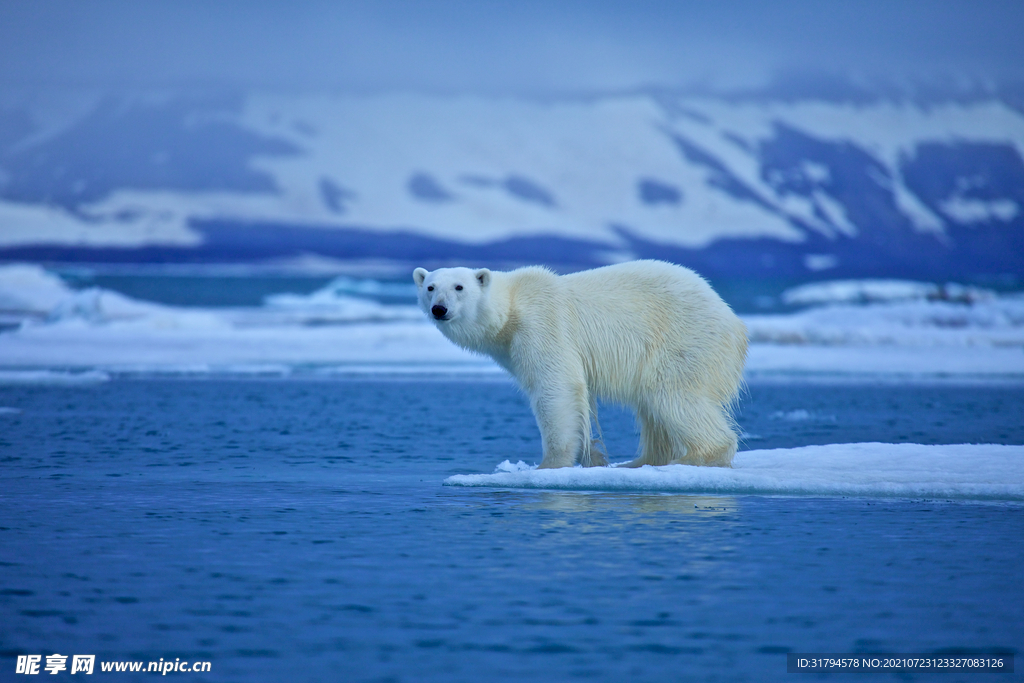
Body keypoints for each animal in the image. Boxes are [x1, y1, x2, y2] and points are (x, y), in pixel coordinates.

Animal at [411, 262, 749, 471]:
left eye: (459, 287)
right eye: (430, 287)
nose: (439, 309)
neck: (510, 310)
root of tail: (735, 322)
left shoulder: (542, 325)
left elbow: (556, 387)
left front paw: (549, 464)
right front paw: (594, 457)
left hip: (683, 340)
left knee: (674, 397)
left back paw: (696, 456)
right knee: (653, 409)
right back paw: (641, 461)